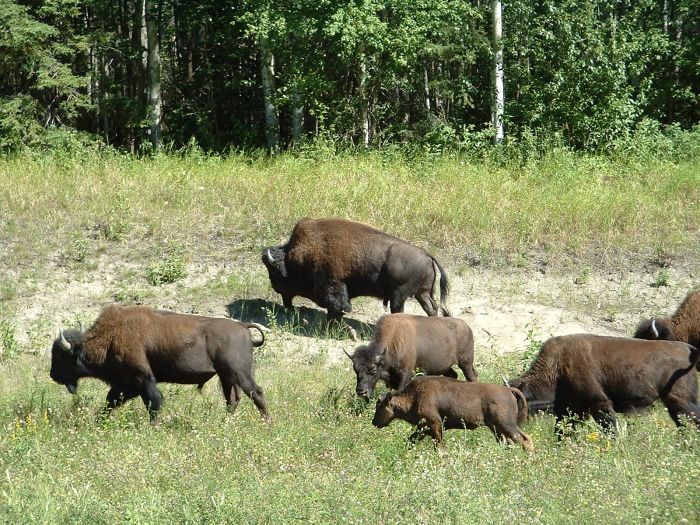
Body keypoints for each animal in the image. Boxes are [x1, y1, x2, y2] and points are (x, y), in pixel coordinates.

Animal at [49, 304, 270, 420]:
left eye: (59, 356)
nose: (53, 375)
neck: (111, 337)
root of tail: (242, 326)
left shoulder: (143, 380)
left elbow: (153, 402)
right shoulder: (125, 385)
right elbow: (111, 401)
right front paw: (99, 421)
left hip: (239, 372)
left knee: (256, 393)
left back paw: (267, 422)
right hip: (226, 376)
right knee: (233, 399)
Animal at [262, 218, 448, 334]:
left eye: (274, 273)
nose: (275, 287)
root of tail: (427, 255)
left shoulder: (333, 287)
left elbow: (336, 309)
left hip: (399, 296)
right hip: (422, 294)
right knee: (432, 309)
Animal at [344, 314, 476, 400]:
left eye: (373, 369)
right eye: (356, 370)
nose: (361, 391)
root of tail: (467, 327)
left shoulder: (406, 373)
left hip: (466, 363)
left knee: (472, 378)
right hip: (445, 368)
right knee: (453, 375)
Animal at [372, 374, 532, 448]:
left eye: (379, 408)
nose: (374, 422)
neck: (414, 395)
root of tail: (509, 390)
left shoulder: (434, 424)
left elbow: (439, 445)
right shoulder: (424, 427)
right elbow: (411, 440)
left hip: (506, 425)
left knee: (523, 440)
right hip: (499, 427)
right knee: (518, 440)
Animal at [508, 334, 700, 432]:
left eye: (516, 404)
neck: (558, 366)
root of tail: (688, 349)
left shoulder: (599, 404)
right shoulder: (573, 410)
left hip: (681, 401)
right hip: (674, 405)